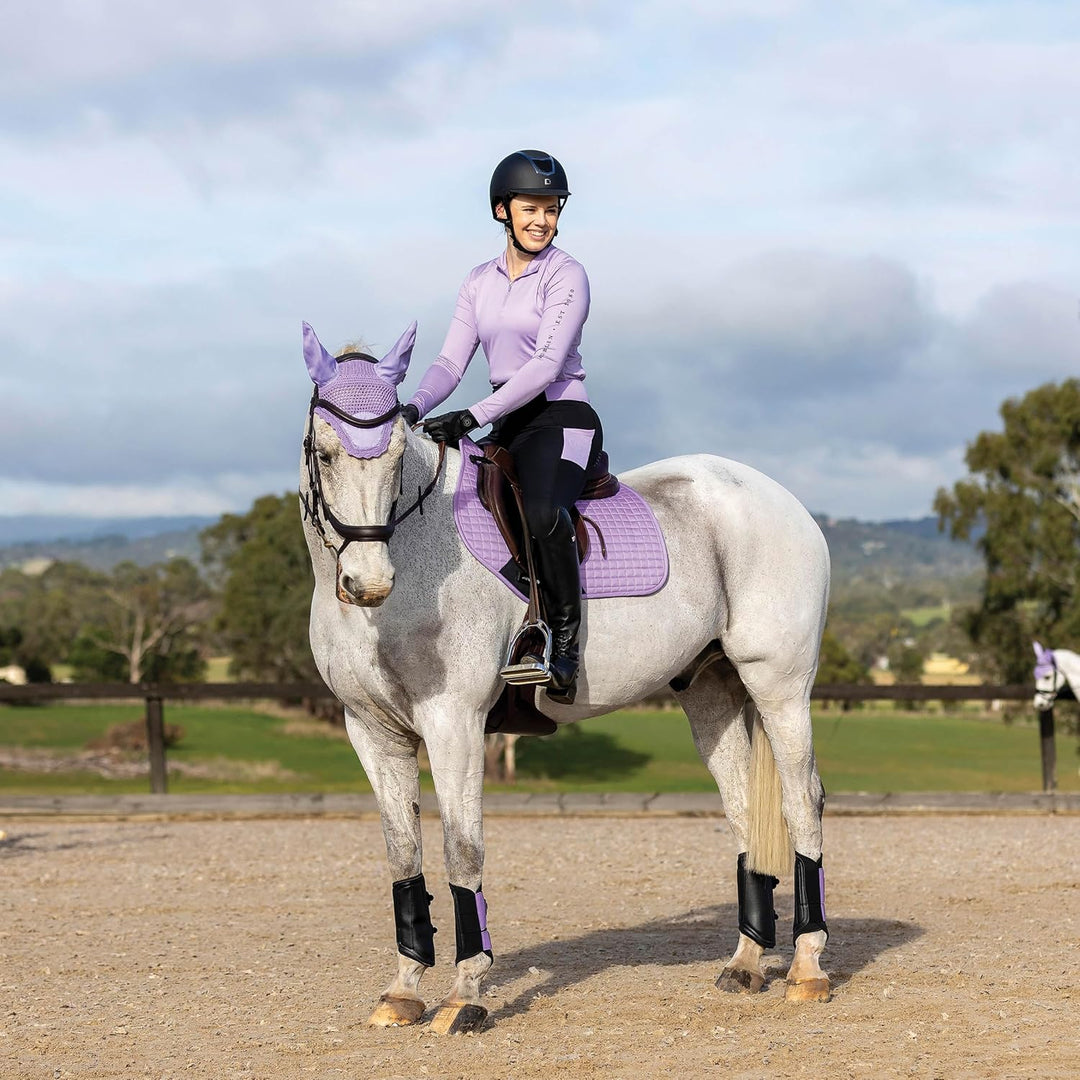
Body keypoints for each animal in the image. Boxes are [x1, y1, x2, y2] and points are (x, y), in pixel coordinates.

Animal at [299, 322, 833, 1033]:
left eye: (393, 458)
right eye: (327, 455)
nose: (368, 583)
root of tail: (782, 499)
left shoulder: (453, 722)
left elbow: (462, 852)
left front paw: (465, 995)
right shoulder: (372, 731)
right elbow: (403, 856)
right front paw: (405, 988)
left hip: (779, 686)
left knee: (803, 801)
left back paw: (807, 969)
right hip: (713, 695)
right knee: (744, 808)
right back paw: (745, 964)